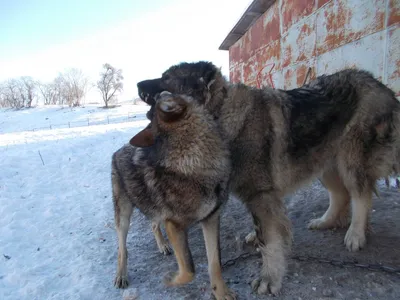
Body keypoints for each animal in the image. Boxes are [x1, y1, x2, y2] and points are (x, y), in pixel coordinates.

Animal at [111, 92, 236, 300]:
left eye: (154, 109)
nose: (158, 93)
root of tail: (119, 149)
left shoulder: (211, 219)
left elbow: (214, 264)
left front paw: (221, 293)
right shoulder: (174, 226)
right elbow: (189, 269)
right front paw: (171, 280)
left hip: (153, 207)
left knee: (153, 225)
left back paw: (163, 246)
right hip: (124, 217)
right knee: (122, 248)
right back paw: (121, 275)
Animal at [138, 61, 400, 296]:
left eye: (167, 77)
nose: (138, 83)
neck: (220, 112)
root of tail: (379, 84)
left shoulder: (261, 195)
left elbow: (270, 242)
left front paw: (269, 278)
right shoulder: (257, 196)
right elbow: (260, 228)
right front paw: (256, 239)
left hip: (350, 158)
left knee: (360, 195)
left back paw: (355, 234)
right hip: (323, 161)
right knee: (341, 194)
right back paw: (326, 221)